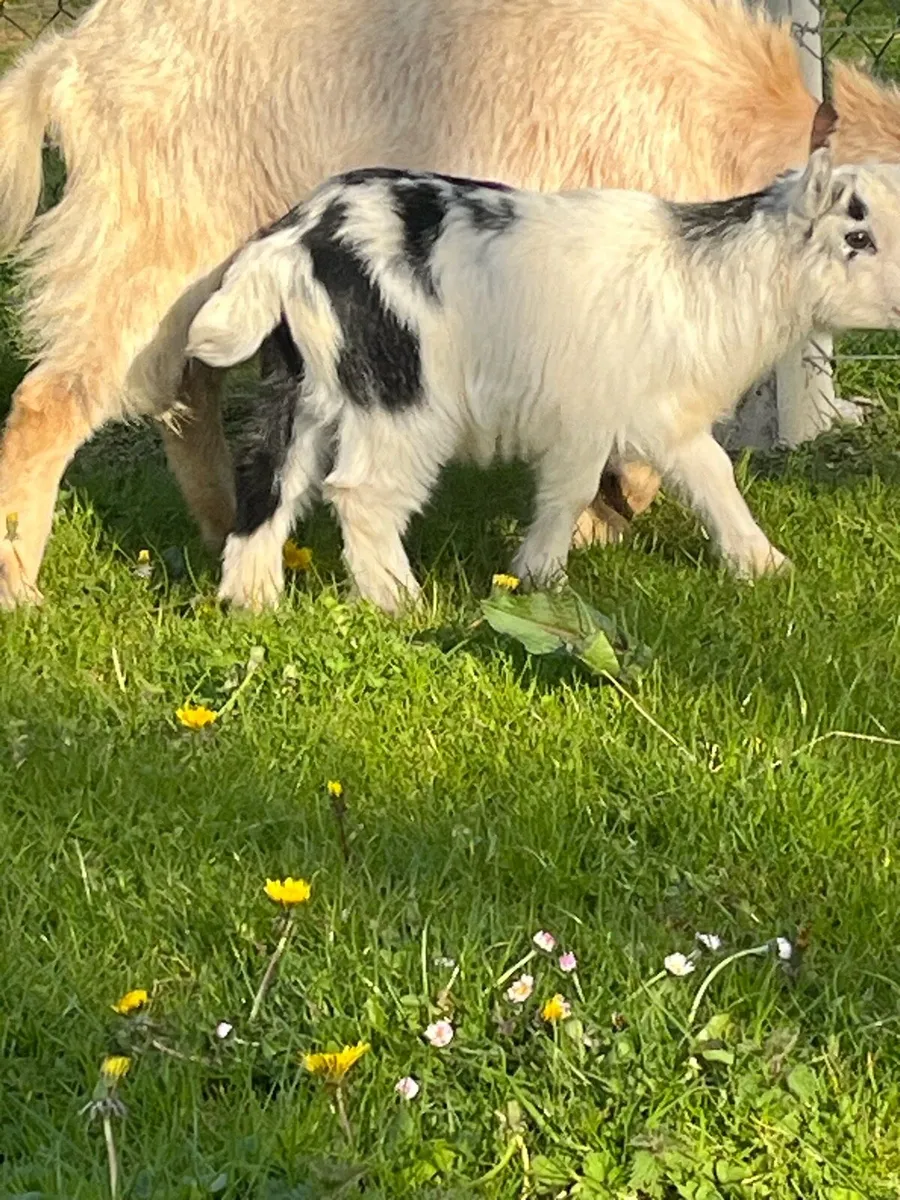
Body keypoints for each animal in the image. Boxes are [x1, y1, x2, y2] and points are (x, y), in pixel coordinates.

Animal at [186, 153, 900, 614]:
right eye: (856, 237)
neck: (710, 281)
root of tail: (294, 241)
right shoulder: (592, 410)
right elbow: (573, 490)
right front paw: (541, 576)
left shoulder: (657, 413)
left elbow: (711, 477)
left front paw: (763, 565)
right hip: (400, 394)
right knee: (361, 494)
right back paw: (401, 602)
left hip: (302, 383)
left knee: (269, 477)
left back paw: (251, 600)